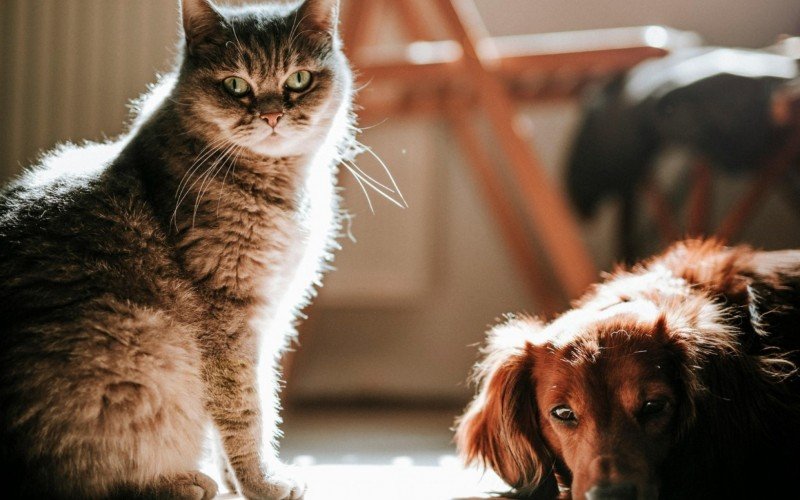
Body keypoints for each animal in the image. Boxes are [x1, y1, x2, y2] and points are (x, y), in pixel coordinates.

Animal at [0, 0, 354, 498]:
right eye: (235, 85)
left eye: (299, 79)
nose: (271, 116)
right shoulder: (228, 319)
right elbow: (247, 410)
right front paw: (261, 482)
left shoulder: (269, 319)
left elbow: (249, 401)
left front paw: (237, 482)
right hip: (141, 341)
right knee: (86, 480)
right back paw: (179, 481)